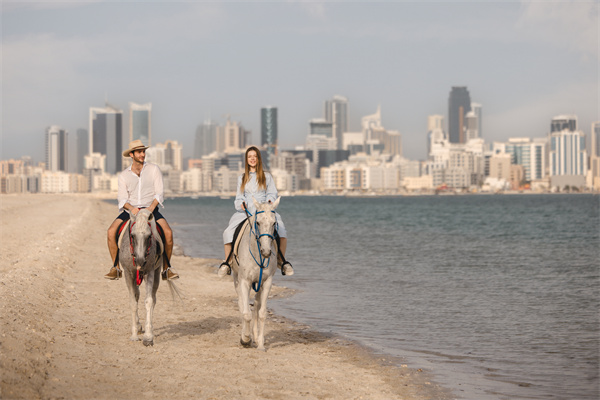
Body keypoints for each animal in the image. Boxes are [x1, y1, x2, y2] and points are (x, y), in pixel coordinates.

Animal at [118, 208, 165, 346]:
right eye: (132, 235)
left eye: (149, 236)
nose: (140, 261)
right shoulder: (128, 273)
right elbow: (133, 302)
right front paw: (134, 335)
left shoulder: (149, 272)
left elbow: (149, 301)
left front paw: (148, 337)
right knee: (136, 294)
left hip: (156, 273)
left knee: (153, 298)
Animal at [232, 197, 284, 350]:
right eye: (258, 222)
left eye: (274, 223)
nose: (266, 252)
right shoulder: (245, 281)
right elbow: (246, 312)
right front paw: (245, 339)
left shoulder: (267, 282)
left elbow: (261, 313)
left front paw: (260, 343)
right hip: (237, 279)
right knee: (242, 304)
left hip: (258, 284)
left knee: (256, 305)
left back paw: (255, 337)